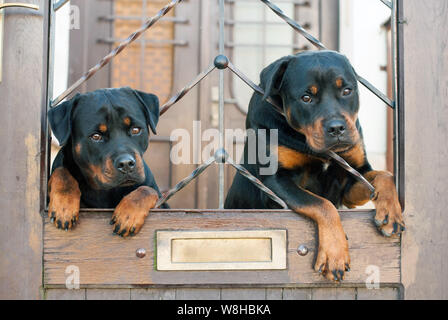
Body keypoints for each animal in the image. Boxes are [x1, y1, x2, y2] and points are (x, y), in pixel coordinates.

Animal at [226, 49, 404, 280]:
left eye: (347, 90)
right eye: (306, 98)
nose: (336, 128)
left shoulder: (351, 183)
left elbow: (384, 175)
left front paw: (391, 212)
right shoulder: (276, 182)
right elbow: (323, 204)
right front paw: (334, 254)